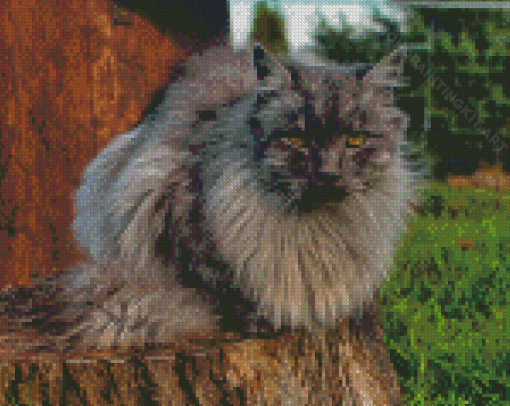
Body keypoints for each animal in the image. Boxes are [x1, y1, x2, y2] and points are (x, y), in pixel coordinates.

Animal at [0, 43, 422, 348]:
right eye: (298, 140)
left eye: (356, 140)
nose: (329, 173)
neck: (315, 227)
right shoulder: (171, 209)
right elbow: (222, 283)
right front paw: (259, 319)